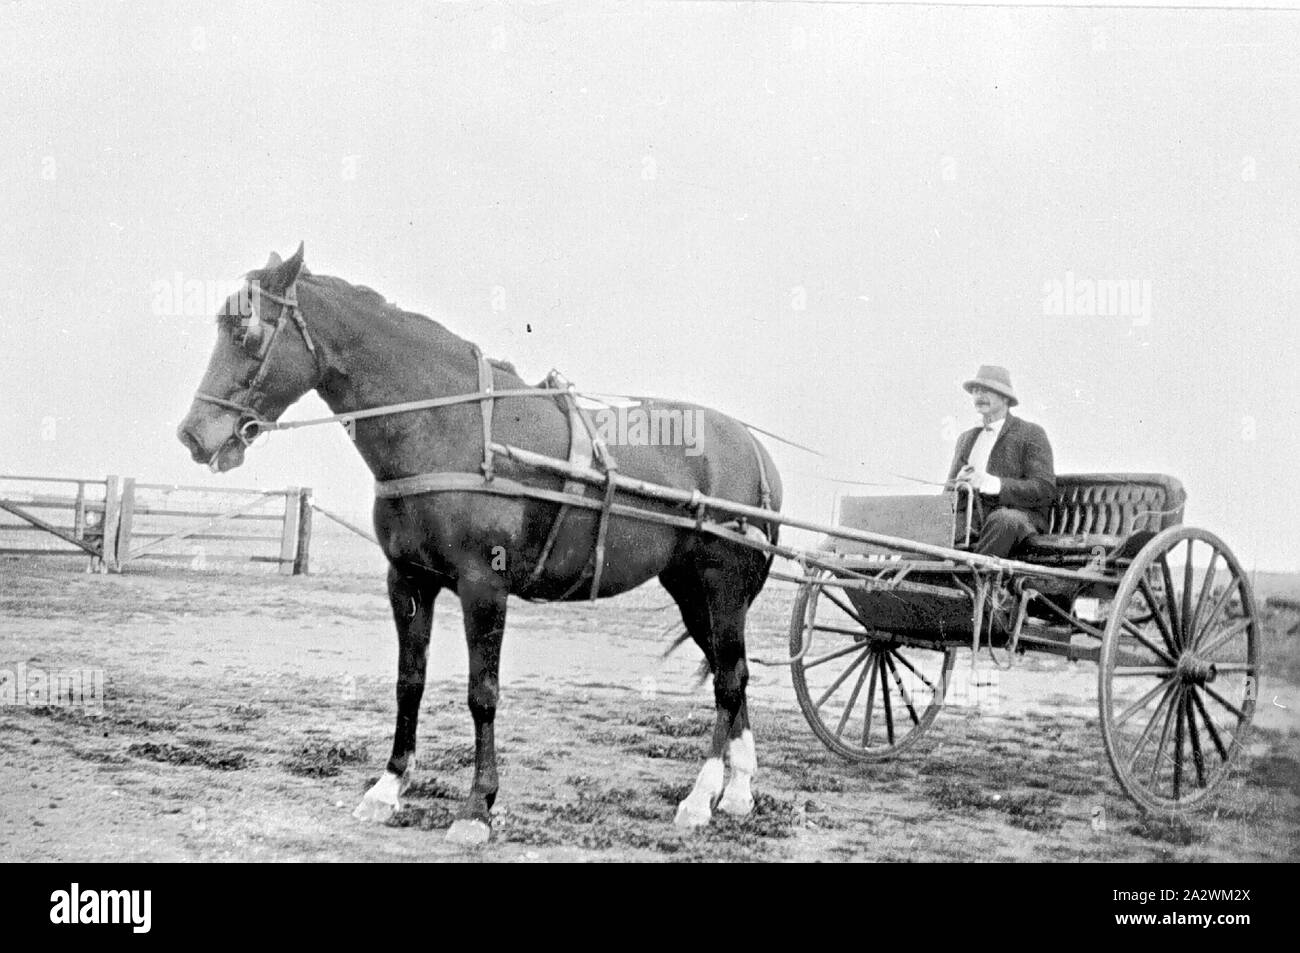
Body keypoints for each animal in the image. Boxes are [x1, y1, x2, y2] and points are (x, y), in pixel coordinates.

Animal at [176, 245, 783, 844]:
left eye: (246, 331)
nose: (194, 435)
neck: (451, 425)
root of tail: (752, 450)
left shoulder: (483, 585)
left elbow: (481, 694)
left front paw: (477, 806)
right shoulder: (407, 581)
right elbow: (410, 683)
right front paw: (389, 786)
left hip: (720, 587)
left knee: (729, 681)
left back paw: (701, 797)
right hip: (691, 591)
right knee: (734, 673)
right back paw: (738, 793)